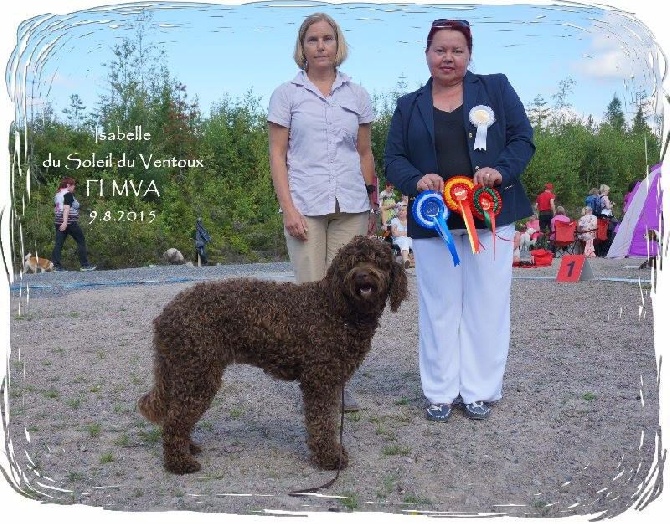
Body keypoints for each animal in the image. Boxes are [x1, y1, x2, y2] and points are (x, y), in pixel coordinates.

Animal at [139, 236, 406, 474]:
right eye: (351, 262)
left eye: (379, 261)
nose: (363, 276)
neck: (338, 309)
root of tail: (166, 314)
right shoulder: (320, 381)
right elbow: (322, 423)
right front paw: (329, 457)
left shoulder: (332, 381)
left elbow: (328, 420)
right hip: (198, 373)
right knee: (175, 420)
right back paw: (179, 463)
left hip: (184, 372)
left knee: (176, 416)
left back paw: (188, 447)